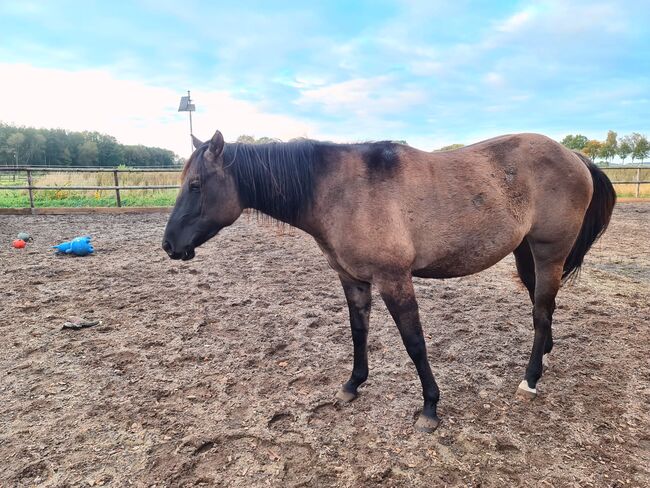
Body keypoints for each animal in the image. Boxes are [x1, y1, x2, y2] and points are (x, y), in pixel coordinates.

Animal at [161, 130, 612, 430]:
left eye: (196, 185)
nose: (169, 245)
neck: (340, 190)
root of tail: (573, 156)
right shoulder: (352, 279)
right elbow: (358, 331)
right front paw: (352, 384)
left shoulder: (394, 280)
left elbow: (414, 343)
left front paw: (430, 407)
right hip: (526, 253)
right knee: (543, 308)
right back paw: (546, 357)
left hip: (549, 252)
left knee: (541, 311)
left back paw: (530, 379)